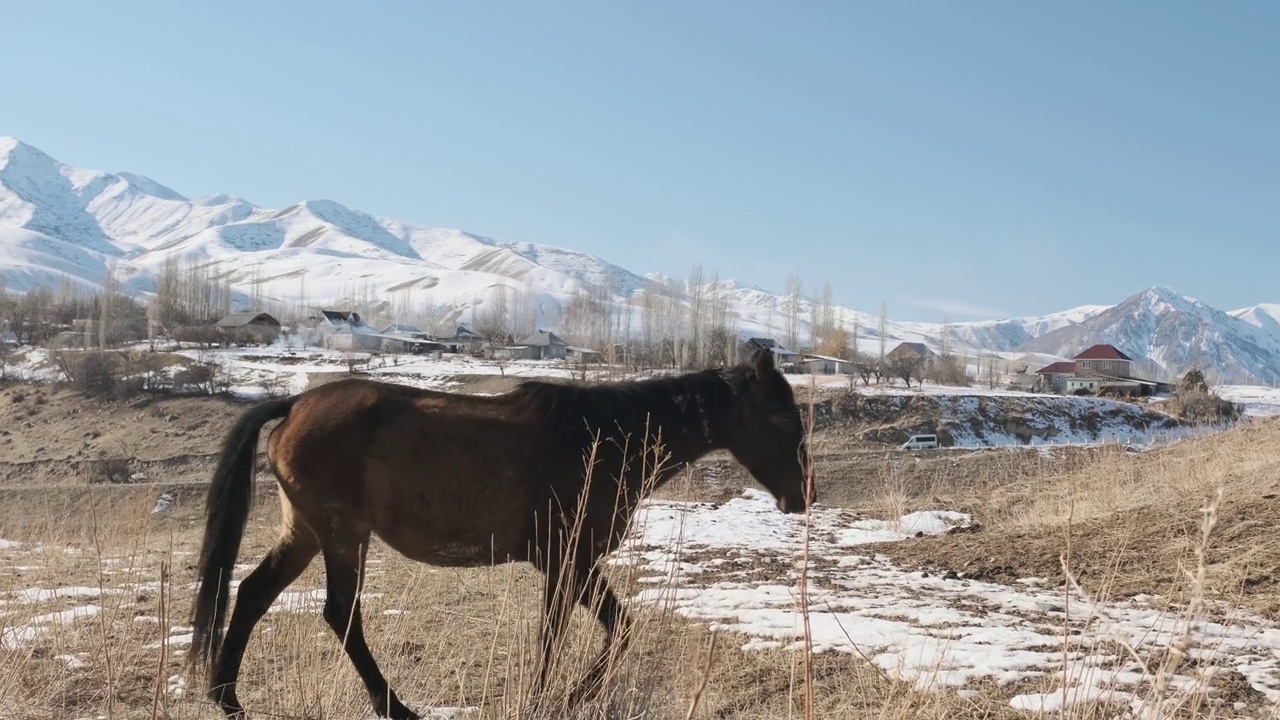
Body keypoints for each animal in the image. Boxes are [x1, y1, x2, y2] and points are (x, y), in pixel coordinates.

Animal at [186, 348, 808, 712]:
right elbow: (559, 637)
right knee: (341, 616)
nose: (801, 496)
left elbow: (617, 631)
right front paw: (550, 699)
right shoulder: (565, 560)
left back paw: (228, 699)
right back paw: (393, 707)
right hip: (342, 535)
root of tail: (294, 404)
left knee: (252, 594)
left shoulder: (572, 563)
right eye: (781, 416)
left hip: (309, 532)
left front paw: (570, 696)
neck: (606, 438)